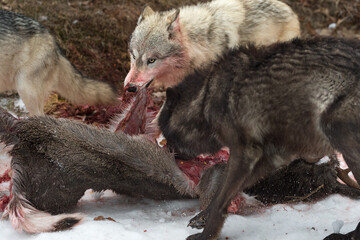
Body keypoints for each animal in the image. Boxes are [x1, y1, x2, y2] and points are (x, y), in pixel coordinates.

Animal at [158, 36, 360, 239]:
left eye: (167, 135)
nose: (168, 151)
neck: (205, 98)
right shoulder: (274, 158)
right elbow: (221, 193)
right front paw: (201, 217)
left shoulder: (244, 153)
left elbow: (222, 199)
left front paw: (206, 235)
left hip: (337, 133)